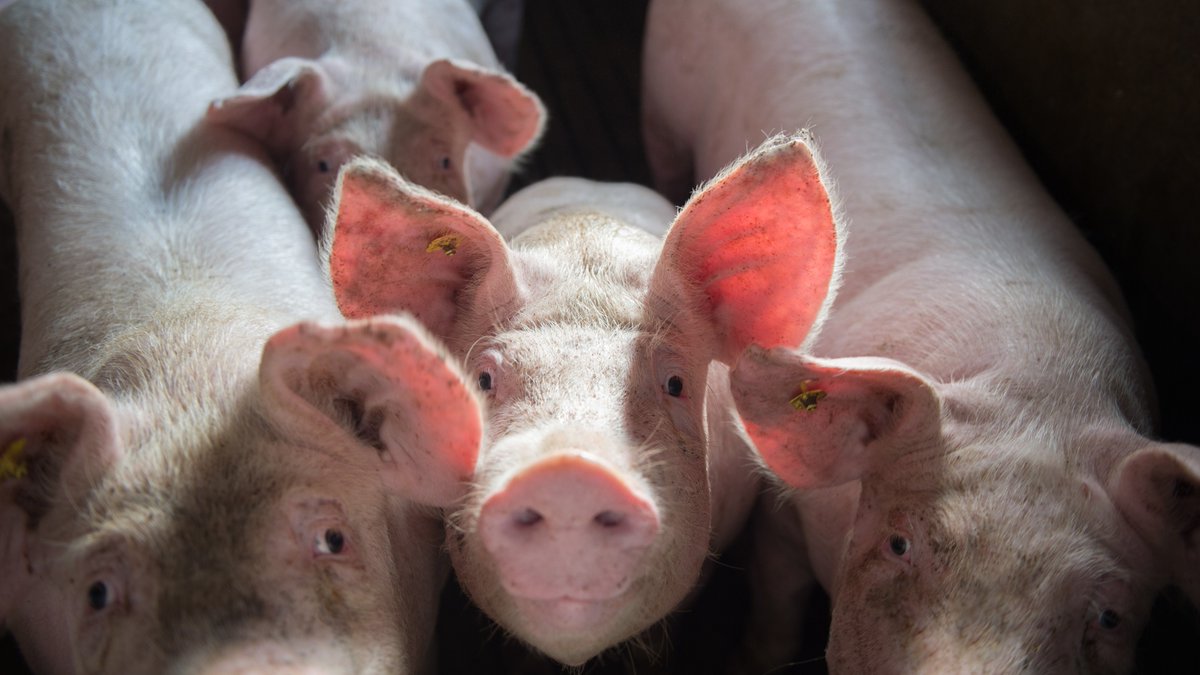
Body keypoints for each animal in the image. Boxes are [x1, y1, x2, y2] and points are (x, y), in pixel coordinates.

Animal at [642, 0, 1200, 671]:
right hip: (663, 97)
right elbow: (777, 604)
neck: (1039, 396)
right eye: (900, 544)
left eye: (1110, 617)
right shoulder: (787, 513)